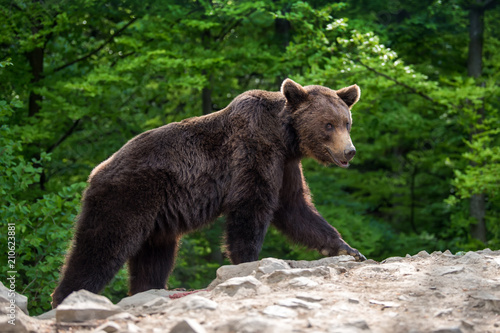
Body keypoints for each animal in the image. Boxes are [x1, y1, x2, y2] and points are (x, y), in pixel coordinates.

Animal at [51, 79, 364, 308]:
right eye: (328, 124)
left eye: (346, 122)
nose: (349, 151)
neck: (286, 138)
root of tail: (96, 172)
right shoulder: (254, 152)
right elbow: (251, 209)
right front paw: (248, 260)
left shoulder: (286, 165)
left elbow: (295, 209)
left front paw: (346, 248)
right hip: (126, 198)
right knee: (100, 246)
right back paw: (66, 296)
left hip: (157, 221)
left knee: (154, 258)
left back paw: (151, 288)